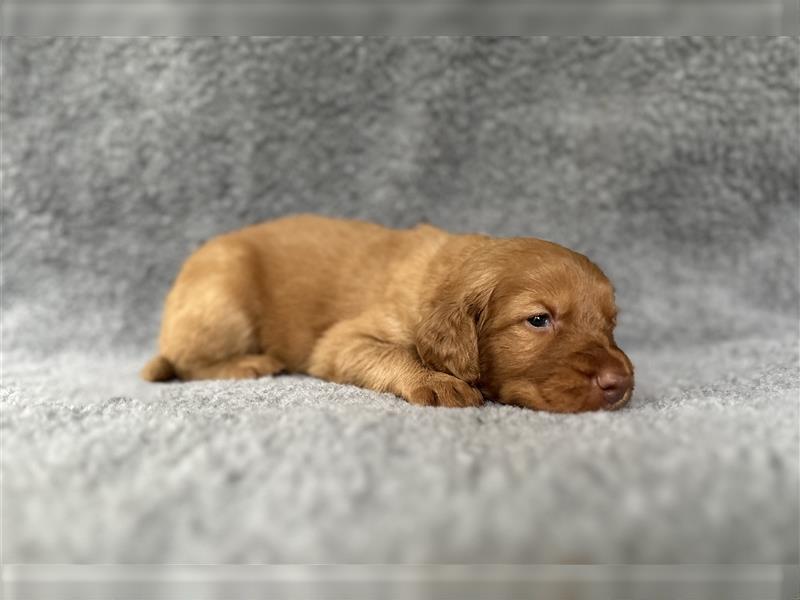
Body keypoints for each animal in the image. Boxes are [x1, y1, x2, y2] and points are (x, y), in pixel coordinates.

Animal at [142, 214, 632, 412]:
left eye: (610, 323)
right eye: (538, 320)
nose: (621, 383)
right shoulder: (342, 341)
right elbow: (395, 353)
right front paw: (436, 380)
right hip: (223, 300)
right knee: (183, 361)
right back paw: (248, 363)